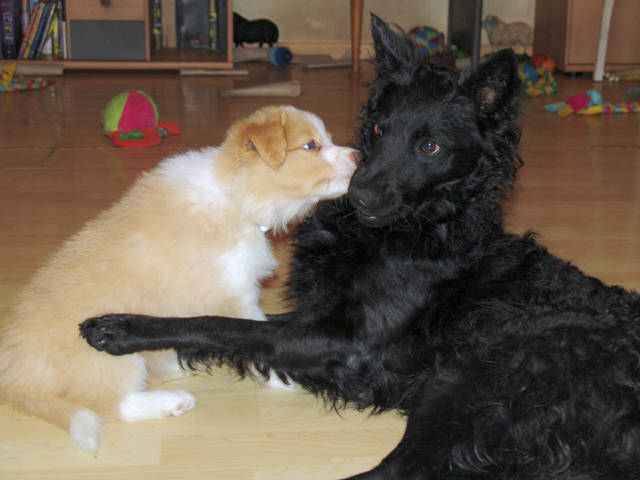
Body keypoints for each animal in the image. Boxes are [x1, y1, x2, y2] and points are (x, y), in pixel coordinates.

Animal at [0, 105, 359, 454]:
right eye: (311, 146)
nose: (359, 156)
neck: (232, 195)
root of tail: (17, 379)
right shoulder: (234, 296)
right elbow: (255, 338)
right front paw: (280, 379)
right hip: (105, 359)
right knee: (112, 404)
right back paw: (172, 401)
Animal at [81, 15, 640, 479]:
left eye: (429, 146)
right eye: (377, 127)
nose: (359, 195)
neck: (421, 228)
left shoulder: (349, 344)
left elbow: (221, 325)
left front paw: (123, 327)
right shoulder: (317, 319)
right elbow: (232, 325)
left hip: (463, 384)